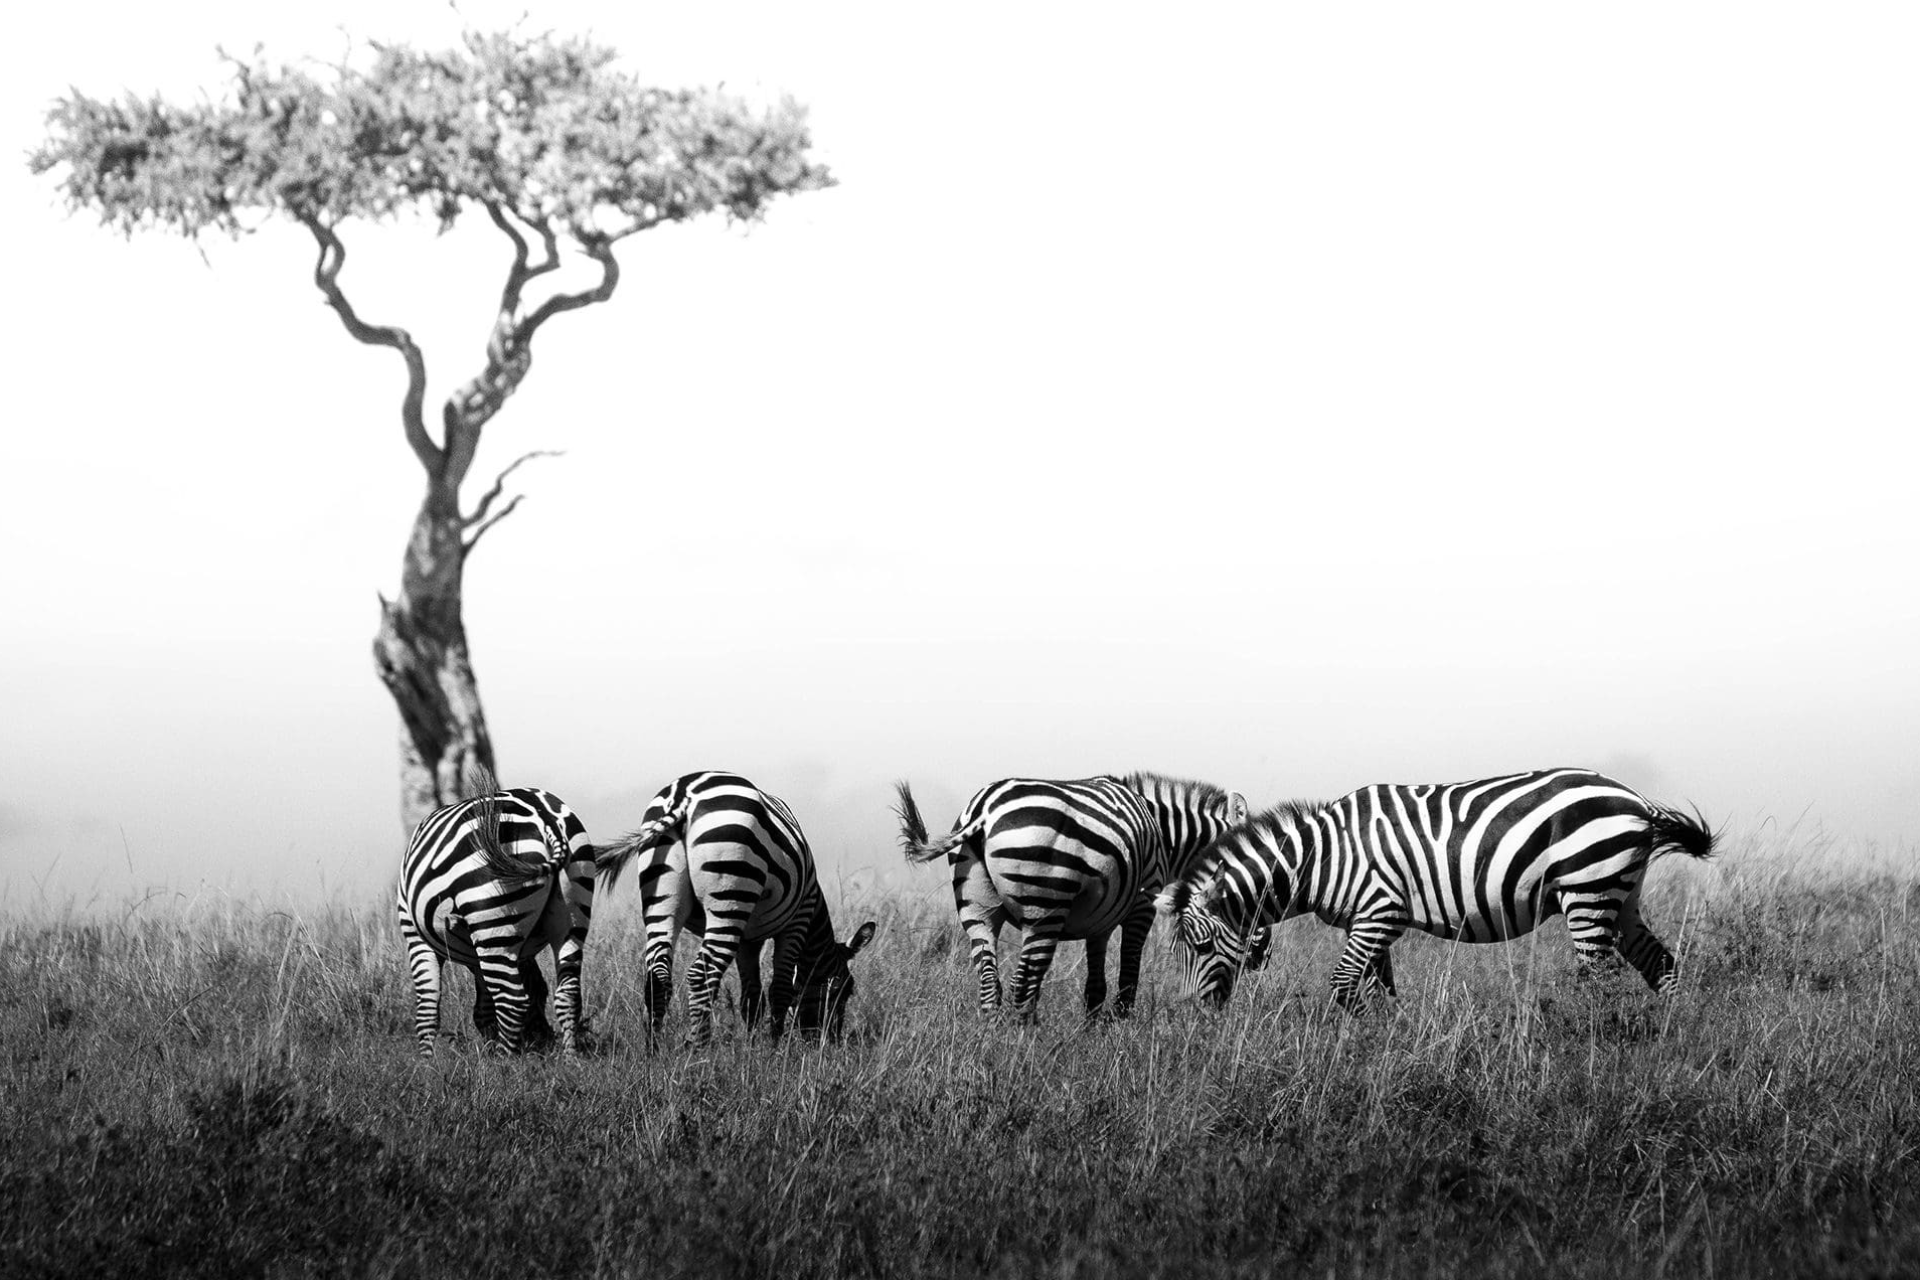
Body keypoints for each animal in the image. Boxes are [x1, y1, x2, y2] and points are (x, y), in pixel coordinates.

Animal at [397, 783, 595, 1059]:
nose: (542, 1042)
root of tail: (545, 817)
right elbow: (487, 1007)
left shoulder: (414, 934)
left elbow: (428, 1007)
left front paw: (427, 1062)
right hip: (572, 911)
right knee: (568, 992)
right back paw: (570, 1058)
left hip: (493, 918)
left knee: (512, 1000)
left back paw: (503, 1061)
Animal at [595, 771, 876, 1045]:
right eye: (845, 988)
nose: (829, 1042)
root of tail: (683, 795)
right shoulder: (797, 921)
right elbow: (781, 989)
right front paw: (775, 1048)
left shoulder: (748, 940)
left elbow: (752, 998)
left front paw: (752, 1048)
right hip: (730, 893)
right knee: (701, 975)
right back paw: (698, 1050)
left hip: (661, 897)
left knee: (658, 976)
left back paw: (654, 1049)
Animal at [893, 772, 1261, 1018]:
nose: (1259, 958)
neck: (1164, 835)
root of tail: (984, 810)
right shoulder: (1143, 904)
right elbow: (1129, 973)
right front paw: (1121, 1028)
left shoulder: (1102, 918)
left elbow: (1095, 986)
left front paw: (1093, 1033)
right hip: (1044, 909)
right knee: (1023, 983)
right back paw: (1025, 1051)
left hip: (976, 907)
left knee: (988, 982)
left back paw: (991, 1043)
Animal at [1155, 767, 1716, 1009]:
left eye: (1199, 947)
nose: (1192, 1013)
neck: (1321, 859)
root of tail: (1635, 799)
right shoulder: (1374, 923)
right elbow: (1379, 988)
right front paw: (1386, 1041)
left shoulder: (1379, 911)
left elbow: (1341, 985)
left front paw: (1348, 1045)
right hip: (1621, 894)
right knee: (1660, 964)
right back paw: (1669, 1038)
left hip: (1588, 889)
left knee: (1600, 977)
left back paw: (1594, 1048)